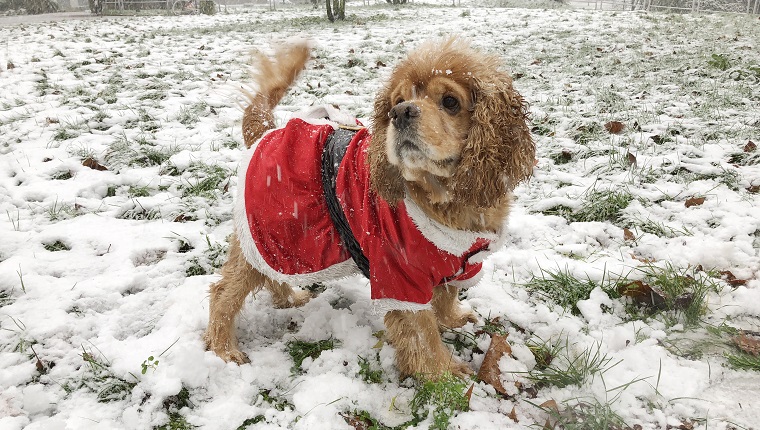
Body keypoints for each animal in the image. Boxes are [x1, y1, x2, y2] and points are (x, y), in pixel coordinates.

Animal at [203, 37, 536, 380]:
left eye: (450, 101)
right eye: (397, 100)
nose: (400, 112)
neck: (444, 199)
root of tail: (266, 132)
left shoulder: (458, 260)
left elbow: (446, 296)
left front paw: (453, 320)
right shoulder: (399, 276)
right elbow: (423, 333)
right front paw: (445, 374)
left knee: (270, 274)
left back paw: (290, 299)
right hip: (271, 231)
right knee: (224, 292)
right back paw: (224, 350)